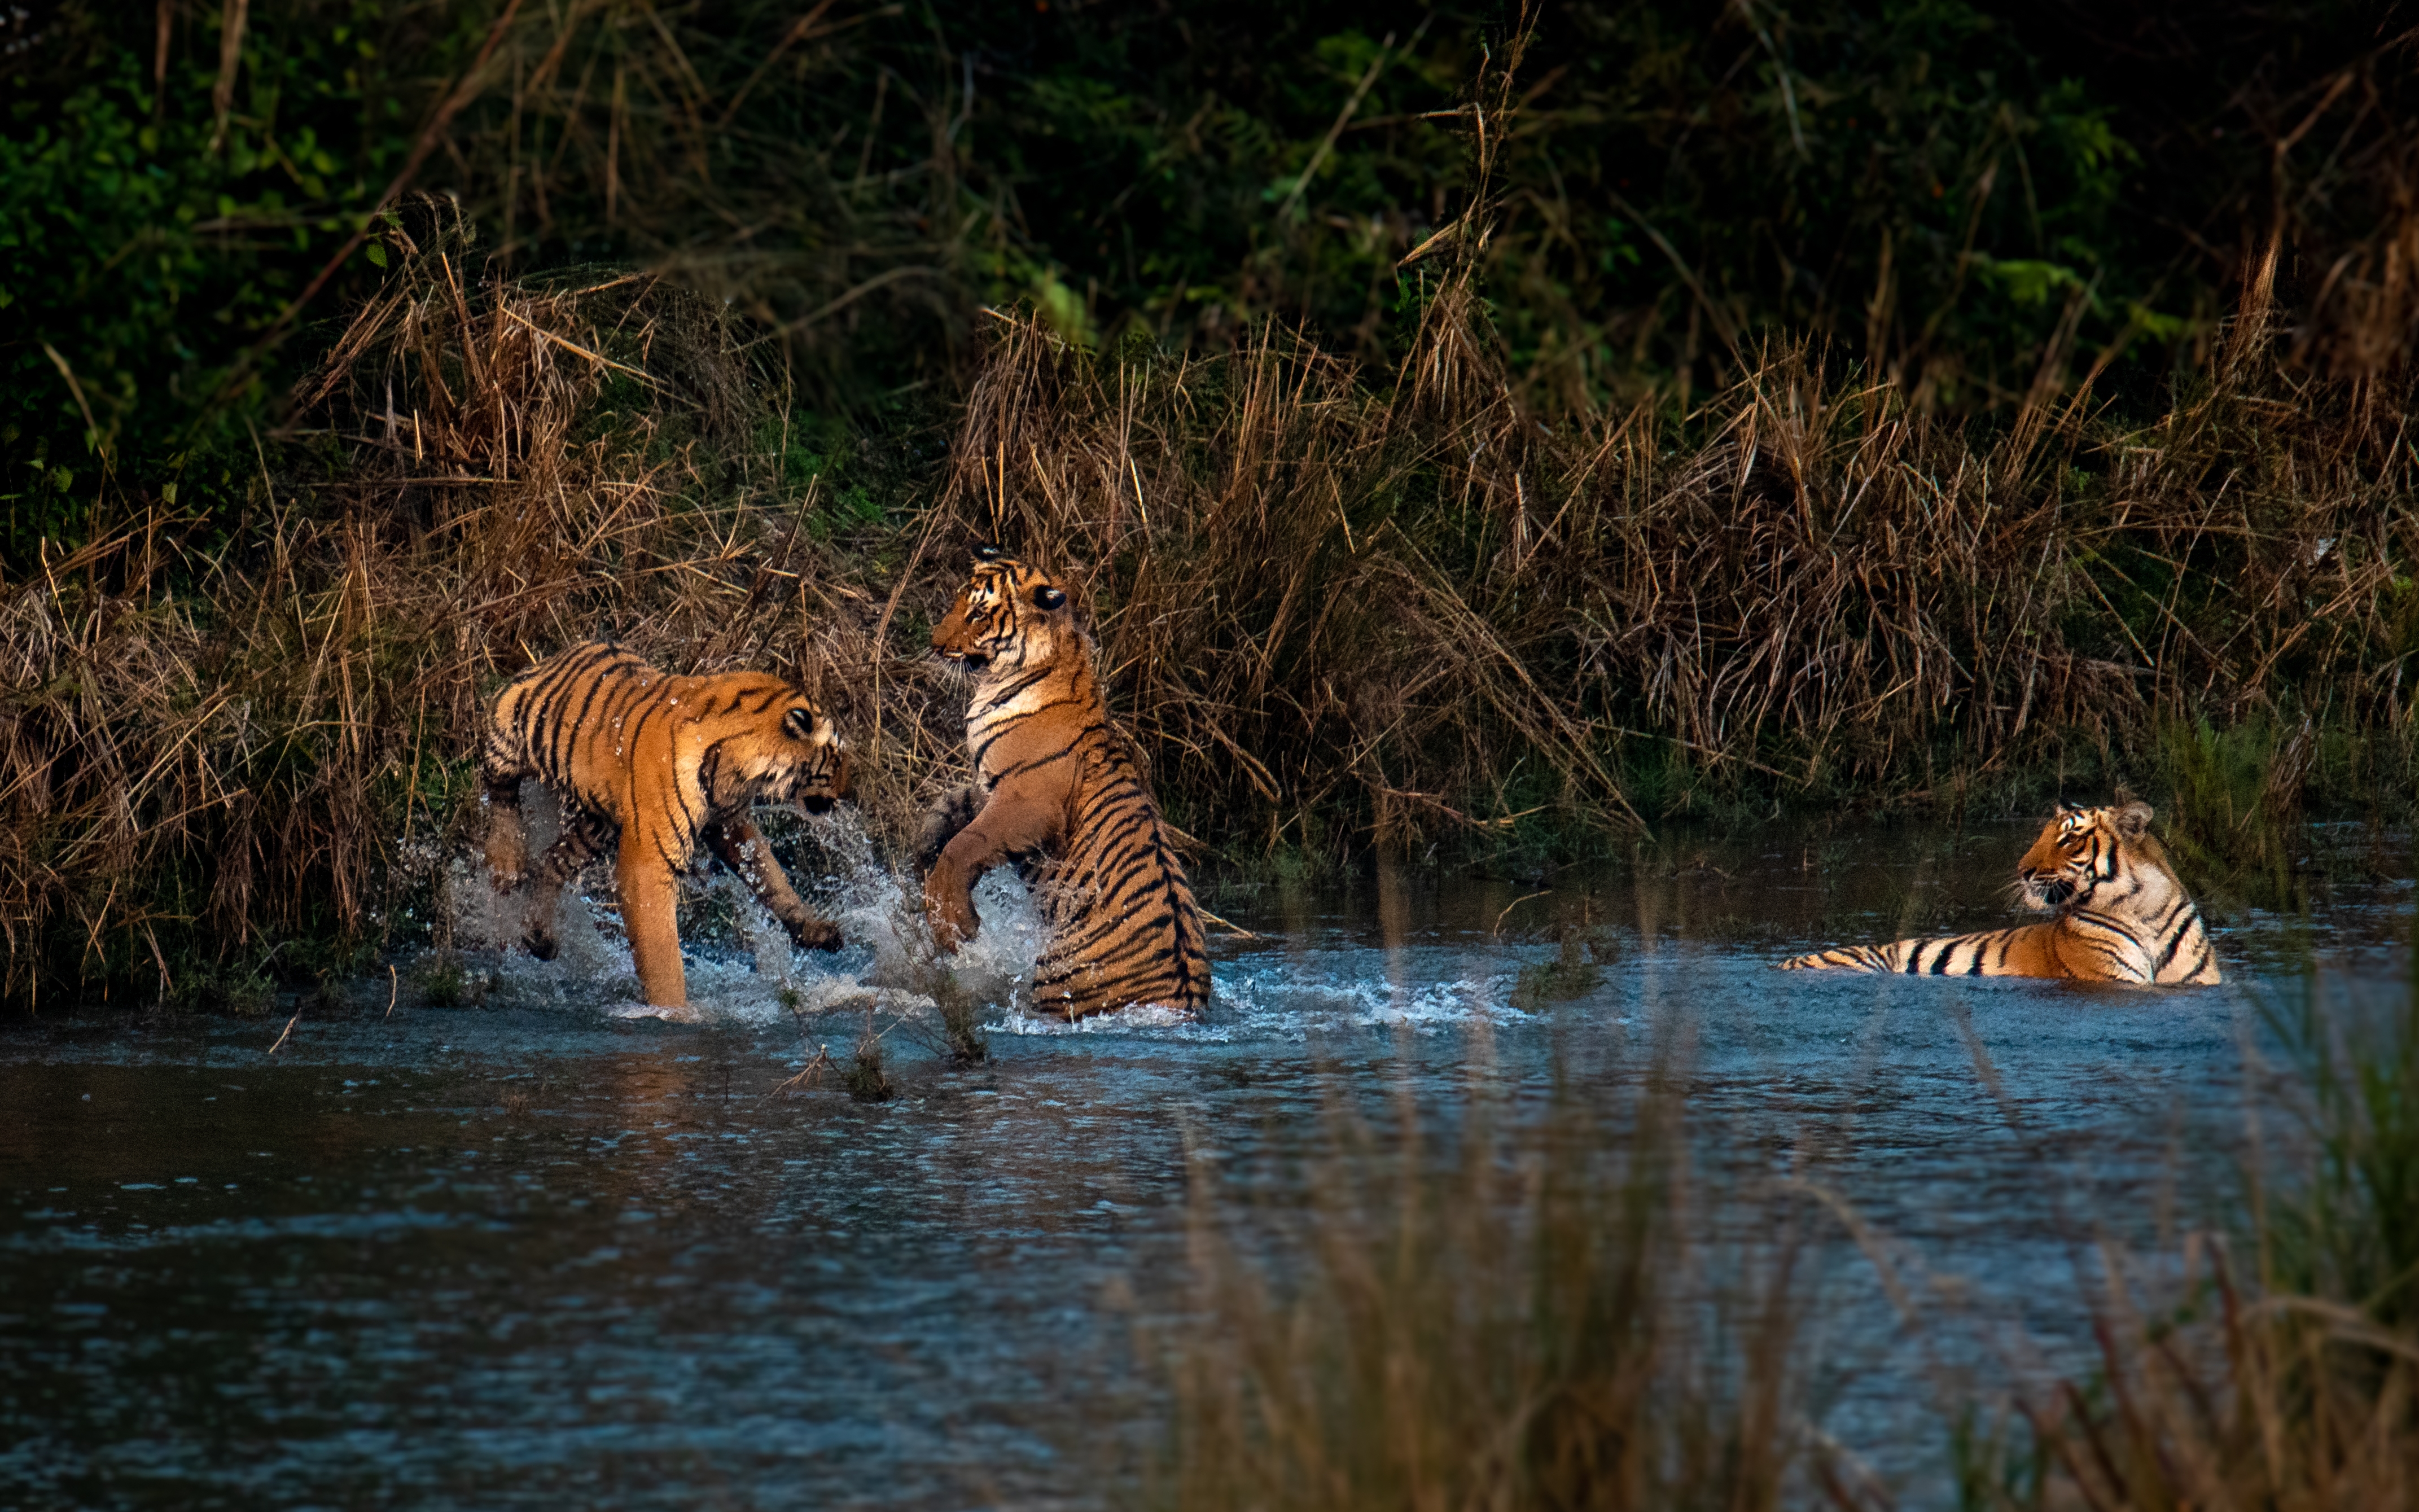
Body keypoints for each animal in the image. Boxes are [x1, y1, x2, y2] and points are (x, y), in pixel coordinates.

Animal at [476, 638, 856, 1006]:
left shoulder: (729, 823)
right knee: (500, 788)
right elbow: (661, 952)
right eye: (837, 759)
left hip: (599, 823)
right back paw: (506, 862)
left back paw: (540, 937)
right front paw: (675, 1012)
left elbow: (771, 876)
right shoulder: (649, 858)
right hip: (511, 727)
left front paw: (816, 929)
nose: (849, 792)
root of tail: (565, 652)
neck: (739, 769)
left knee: (553, 861)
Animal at [909, 542, 1210, 1016]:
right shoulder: (991, 786)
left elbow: (965, 846)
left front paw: (955, 927)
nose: (934, 644)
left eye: (977, 614)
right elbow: (951, 805)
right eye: (958, 602)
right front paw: (924, 845)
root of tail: (1186, 1000)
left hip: (1059, 980)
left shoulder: (1028, 801)